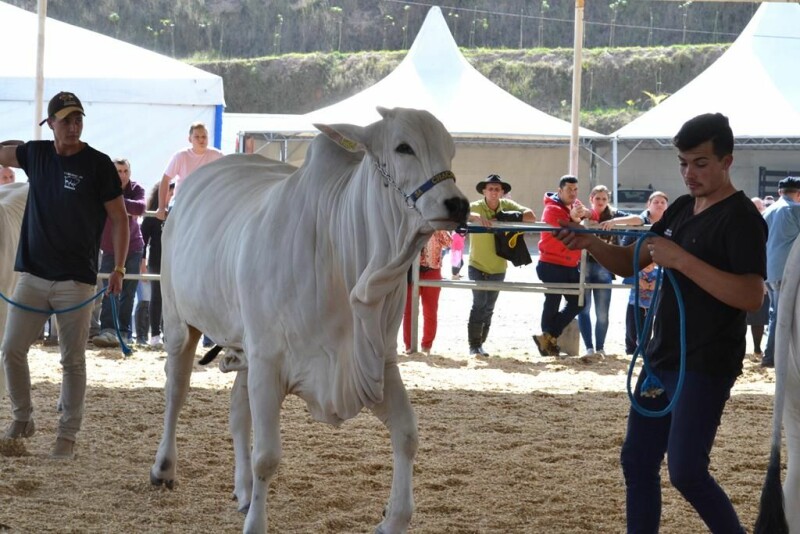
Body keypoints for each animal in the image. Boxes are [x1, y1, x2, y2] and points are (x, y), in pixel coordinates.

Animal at [150, 107, 468, 532]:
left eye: (450, 150)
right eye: (404, 147)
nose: (457, 204)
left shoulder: (377, 361)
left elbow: (407, 434)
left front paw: (394, 519)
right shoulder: (268, 362)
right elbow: (267, 456)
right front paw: (256, 524)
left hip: (244, 348)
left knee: (237, 412)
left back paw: (244, 491)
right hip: (178, 322)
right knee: (176, 391)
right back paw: (164, 468)